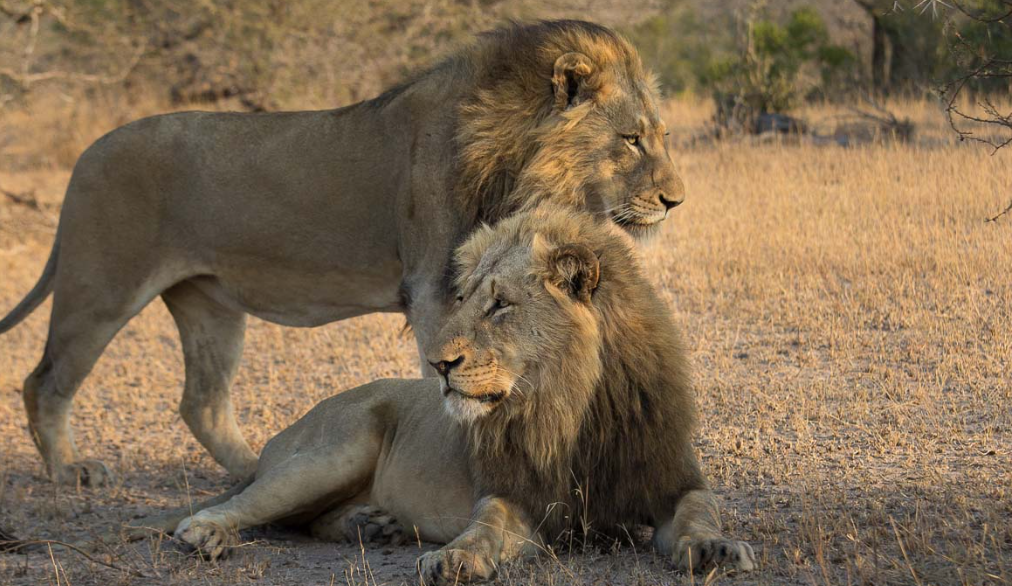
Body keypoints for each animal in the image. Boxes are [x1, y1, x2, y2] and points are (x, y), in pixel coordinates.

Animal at [0, 19, 688, 485]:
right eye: (630, 140)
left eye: (661, 136)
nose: (675, 200)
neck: (515, 157)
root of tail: (88, 152)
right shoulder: (434, 291)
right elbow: (444, 376)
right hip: (101, 285)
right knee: (45, 381)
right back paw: (70, 472)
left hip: (209, 303)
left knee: (202, 402)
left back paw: (257, 469)